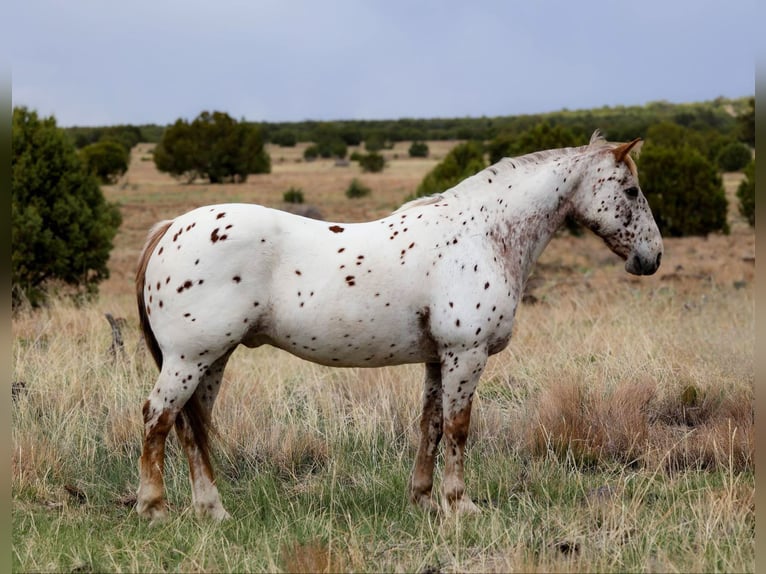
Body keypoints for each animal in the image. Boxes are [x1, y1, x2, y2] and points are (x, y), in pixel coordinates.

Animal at [134, 131, 663, 521]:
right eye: (631, 191)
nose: (651, 258)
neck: (483, 235)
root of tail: (171, 227)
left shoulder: (437, 359)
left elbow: (430, 426)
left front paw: (424, 499)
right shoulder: (465, 355)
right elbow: (458, 428)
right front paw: (460, 505)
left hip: (212, 360)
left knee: (191, 425)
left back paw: (212, 510)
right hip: (189, 358)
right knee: (158, 416)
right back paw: (154, 507)